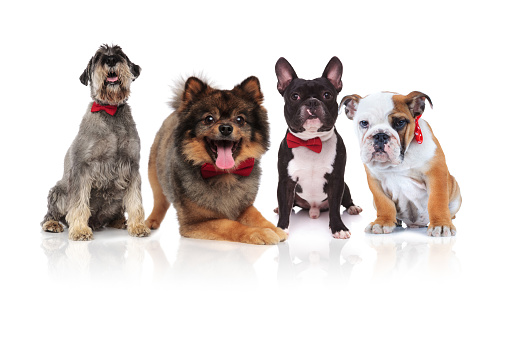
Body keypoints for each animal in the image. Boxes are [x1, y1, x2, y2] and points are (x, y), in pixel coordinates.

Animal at [42, 45, 150, 240]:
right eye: (98, 57)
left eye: (121, 54)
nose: (111, 59)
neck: (110, 110)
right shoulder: (83, 168)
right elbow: (78, 204)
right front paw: (79, 230)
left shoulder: (131, 167)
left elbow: (135, 201)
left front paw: (138, 226)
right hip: (58, 191)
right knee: (52, 213)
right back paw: (52, 224)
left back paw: (120, 221)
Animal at [145, 76, 288, 244]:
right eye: (209, 119)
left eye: (240, 119)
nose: (226, 128)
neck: (224, 175)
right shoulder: (195, 223)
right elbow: (231, 225)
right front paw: (259, 233)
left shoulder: (244, 206)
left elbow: (258, 217)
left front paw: (274, 228)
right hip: (154, 175)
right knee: (159, 201)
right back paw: (152, 221)